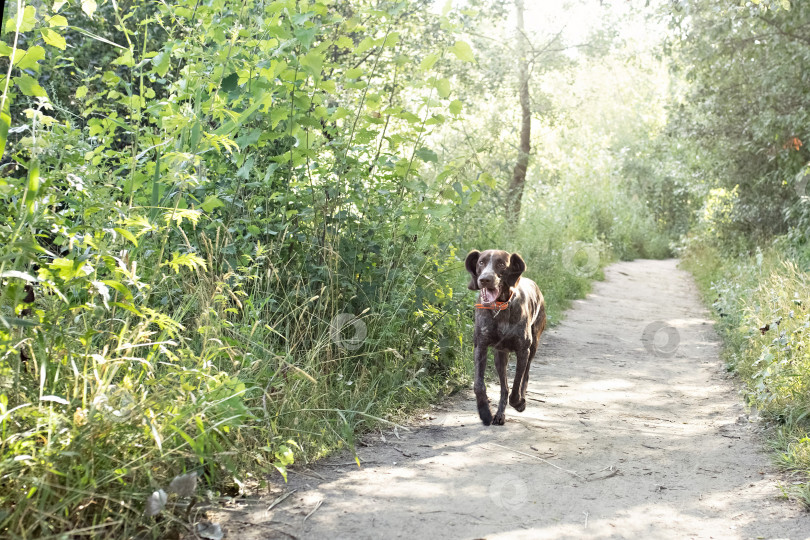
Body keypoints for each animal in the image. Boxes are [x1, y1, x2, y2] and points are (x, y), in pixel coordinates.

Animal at [464, 250, 548, 426]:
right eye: (481, 262)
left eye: (501, 264)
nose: (485, 279)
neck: (499, 308)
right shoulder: (480, 347)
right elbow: (479, 385)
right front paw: (484, 412)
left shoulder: (523, 350)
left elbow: (516, 385)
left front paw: (519, 402)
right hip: (500, 356)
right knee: (504, 387)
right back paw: (499, 414)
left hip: (533, 347)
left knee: (525, 376)